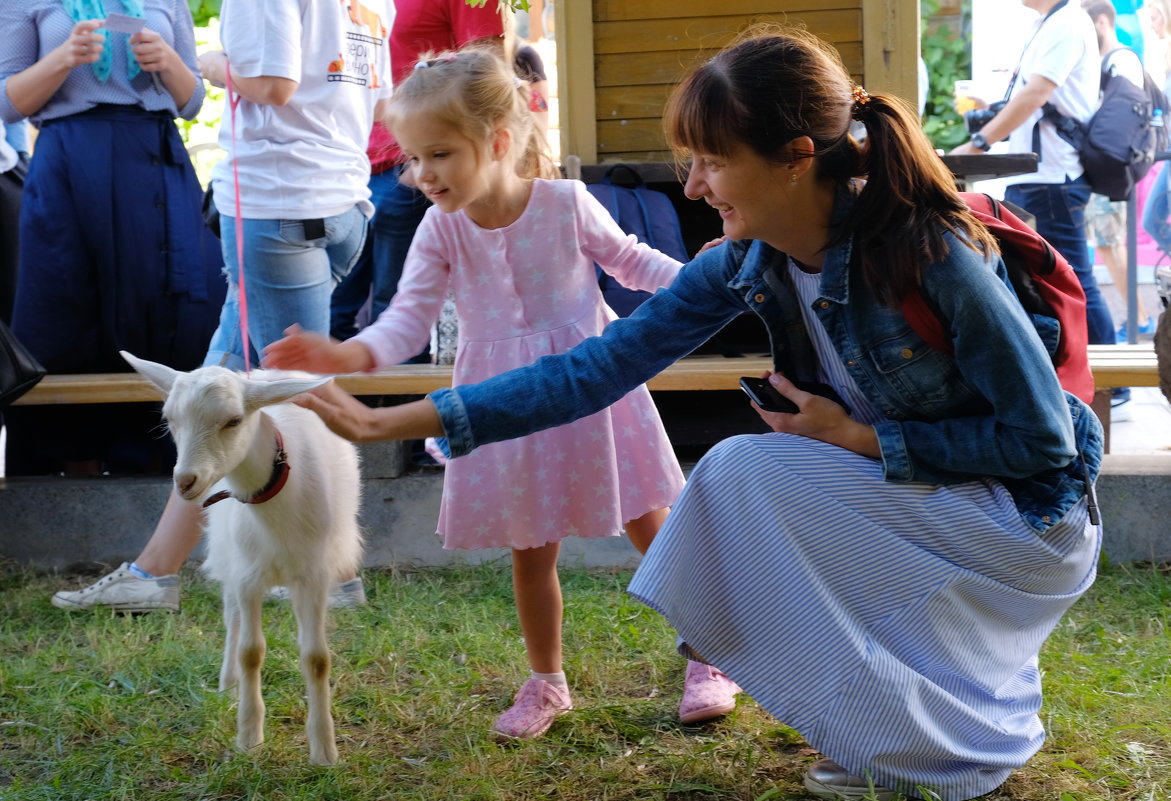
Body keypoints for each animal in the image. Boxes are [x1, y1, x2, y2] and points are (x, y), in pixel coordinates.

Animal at [122, 353, 360, 768]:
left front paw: (324, 751)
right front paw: (249, 736)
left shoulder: (314, 576)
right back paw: (229, 685)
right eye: (169, 419)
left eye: (233, 420)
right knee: (232, 622)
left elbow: (317, 658)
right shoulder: (248, 575)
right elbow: (251, 652)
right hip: (229, 559)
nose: (185, 481)